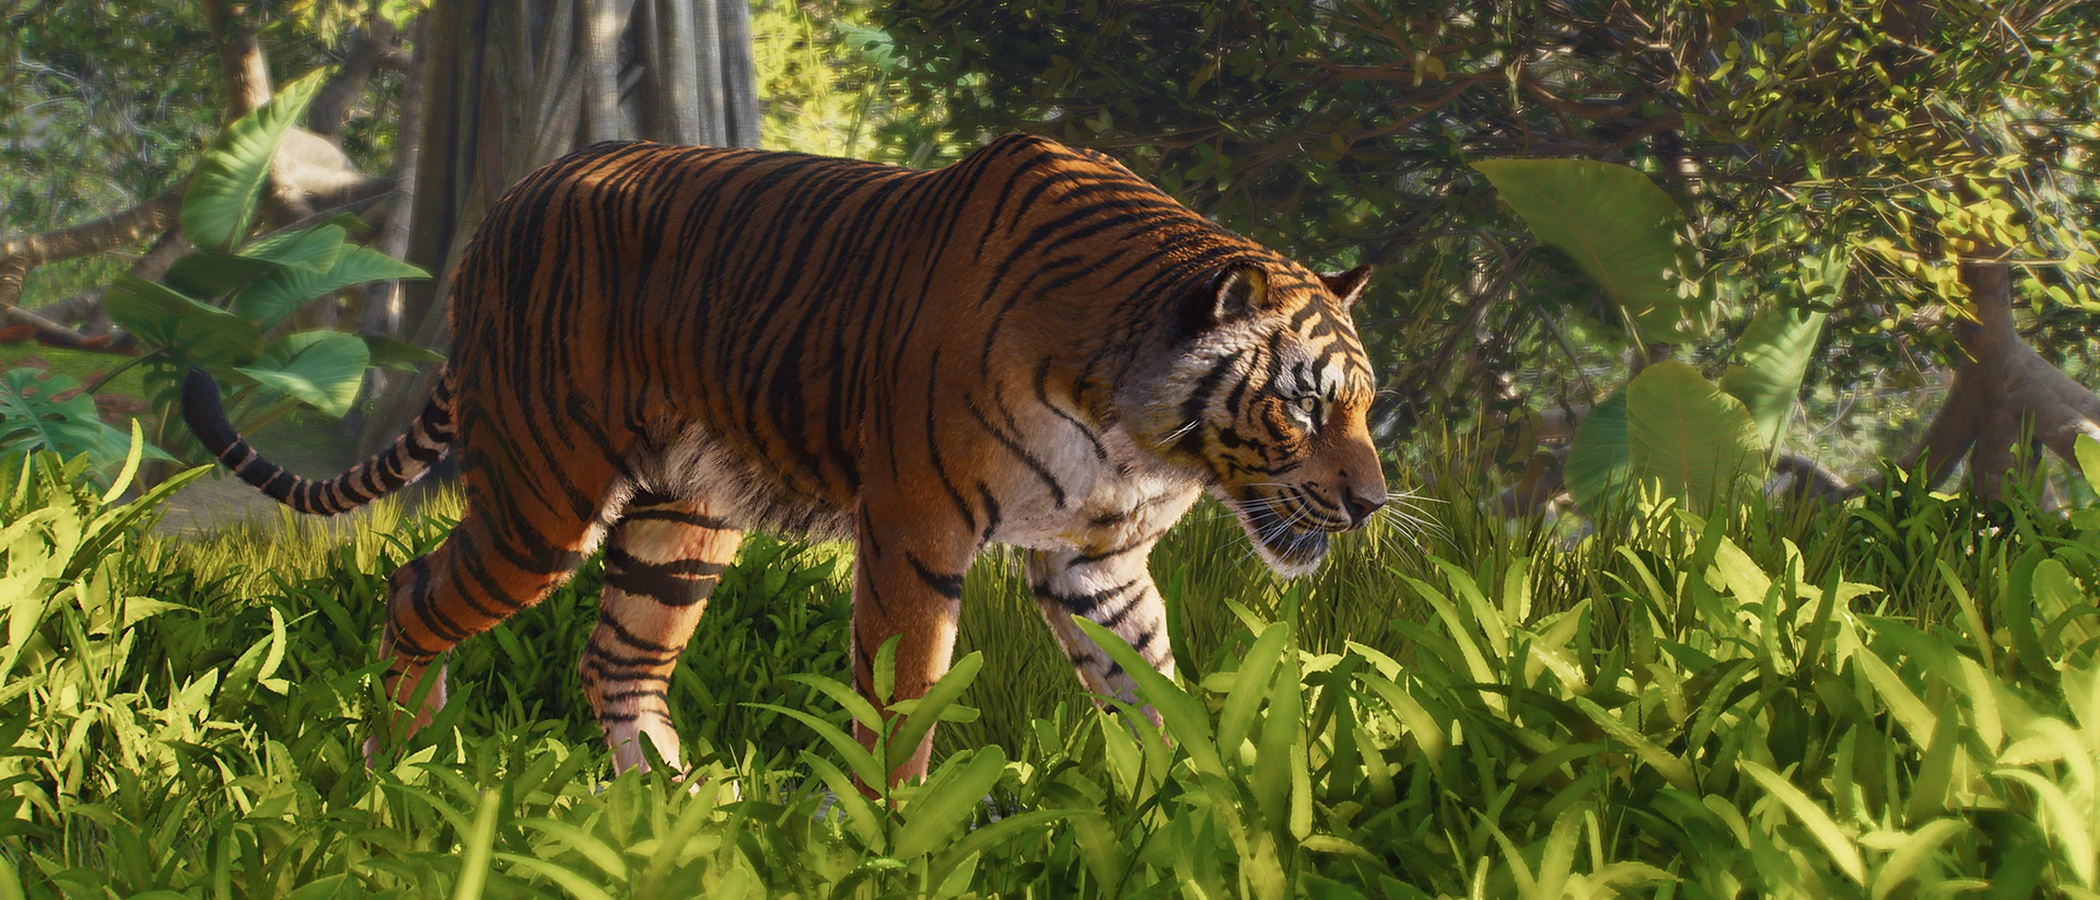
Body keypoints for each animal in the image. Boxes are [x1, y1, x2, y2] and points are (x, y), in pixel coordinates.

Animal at [182, 133, 1388, 786]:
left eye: (1370, 407)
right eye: (1303, 404)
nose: (1375, 504)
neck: (1135, 428)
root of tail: (503, 206)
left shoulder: (1097, 565)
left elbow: (1153, 686)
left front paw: (1197, 801)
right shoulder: (916, 530)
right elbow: (902, 703)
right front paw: (889, 839)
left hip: (680, 521)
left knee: (617, 662)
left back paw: (679, 813)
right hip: (541, 496)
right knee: (412, 589)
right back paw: (397, 767)